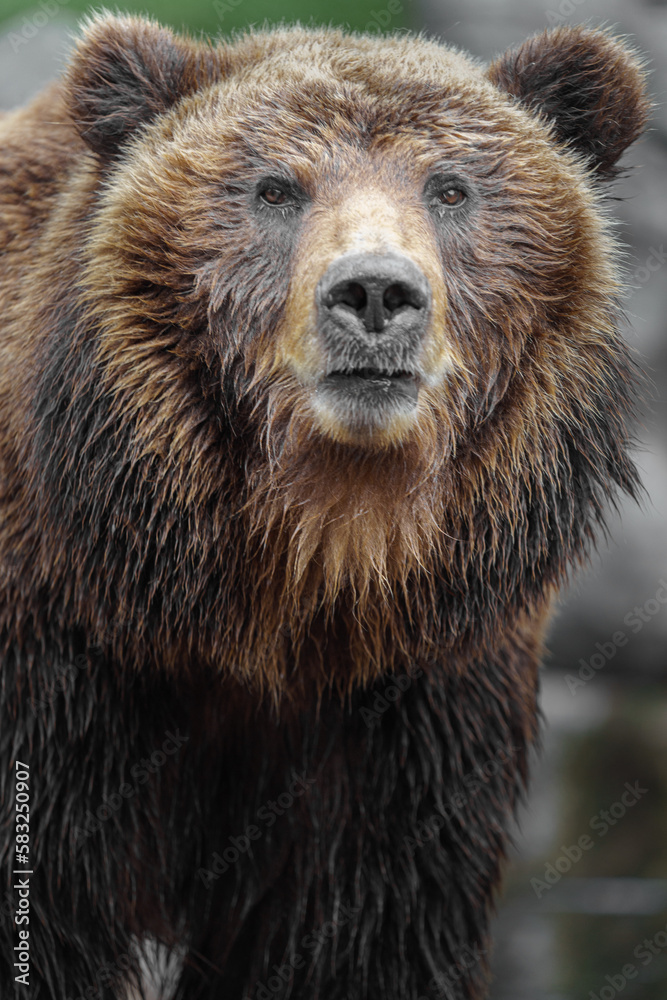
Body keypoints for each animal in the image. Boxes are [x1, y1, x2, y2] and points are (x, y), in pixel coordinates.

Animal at [0, 12, 649, 1000]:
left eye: (450, 187)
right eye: (275, 187)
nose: (375, 292)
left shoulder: (411, 713)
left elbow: (356, 937)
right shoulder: (58, 666)